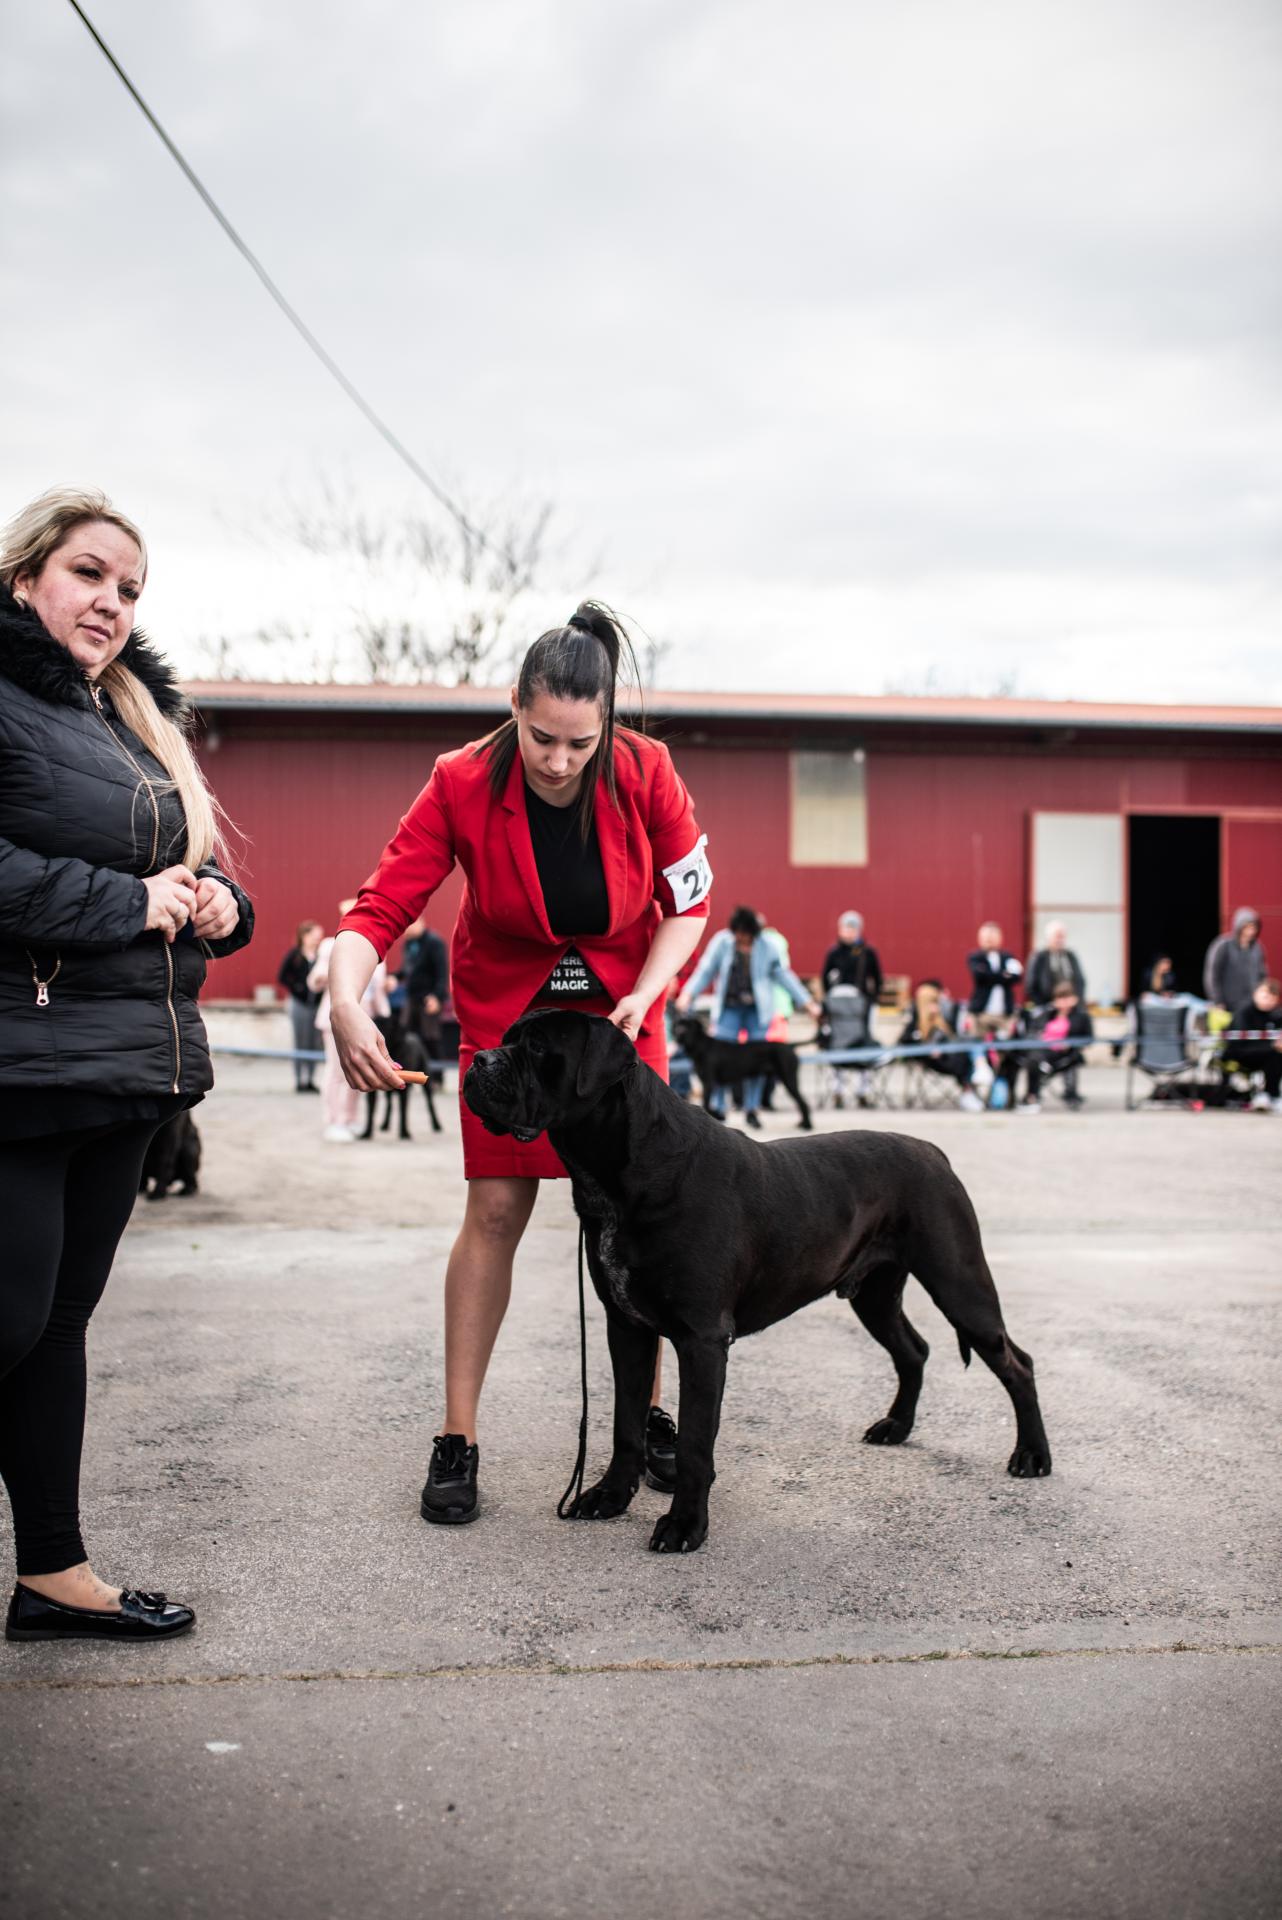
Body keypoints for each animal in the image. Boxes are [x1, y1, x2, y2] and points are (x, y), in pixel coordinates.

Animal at [674, 1014, 813, 1130]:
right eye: (678, 1025)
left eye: (687, 1027)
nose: (678, 1034)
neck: (702, 1046)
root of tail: (790, 1045)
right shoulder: (709, 1083)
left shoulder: (709, 1083)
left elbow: (706, 1103)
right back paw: (802, 1123)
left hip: (789, 1078)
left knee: (803, 1103)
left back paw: (807, 1125)